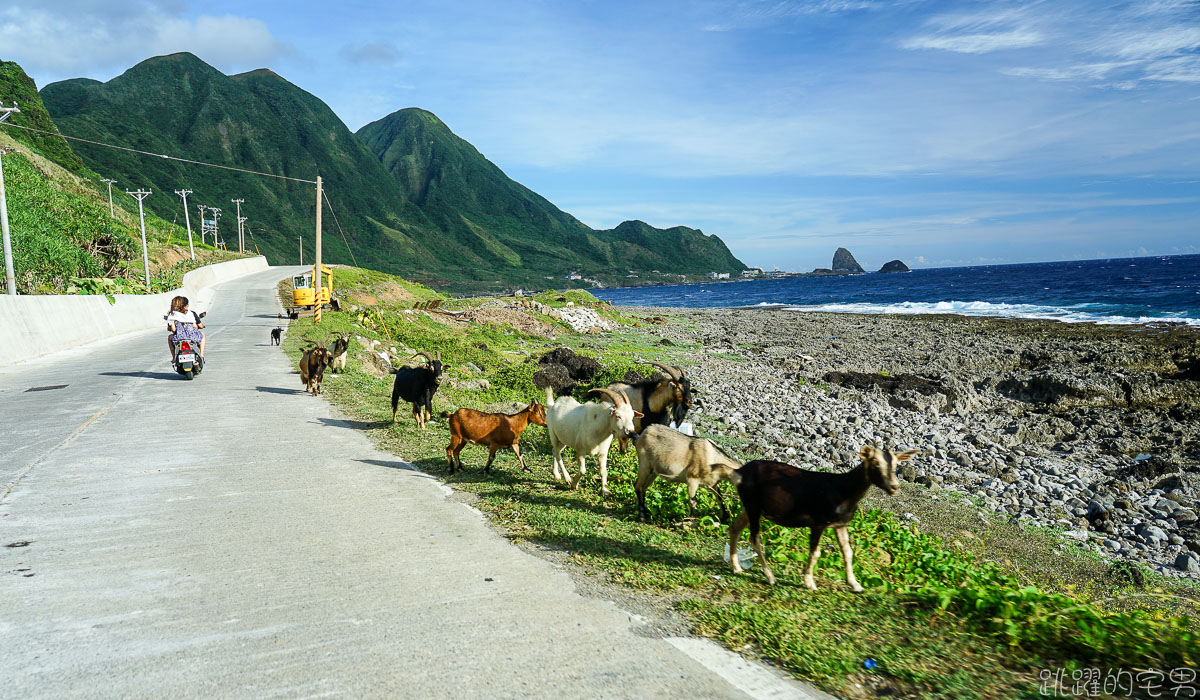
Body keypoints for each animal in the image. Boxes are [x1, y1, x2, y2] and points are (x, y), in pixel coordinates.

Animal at [720, 449, 916, 590]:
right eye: (875, 463)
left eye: (897, 465)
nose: (894, 487)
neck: (843, 489)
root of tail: (738, 472)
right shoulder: (818, 523)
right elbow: (815, 553)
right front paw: (809, 582)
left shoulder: (840, 525)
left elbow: (848, 552)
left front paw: (855, 584)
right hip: (753, 506)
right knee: (754, 538)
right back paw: (770, 577)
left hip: (751, 507)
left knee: (735, 528)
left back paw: (737, 567)